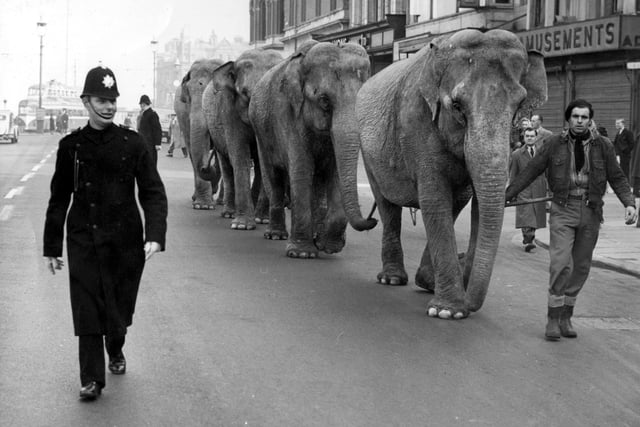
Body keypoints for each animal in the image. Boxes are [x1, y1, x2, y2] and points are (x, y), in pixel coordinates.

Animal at [202, 49, 282, 231]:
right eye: (245, 94)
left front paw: (262, 220)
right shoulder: (229, 109)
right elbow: (239, 156)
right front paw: (241, 226)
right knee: (227, 165)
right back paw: (229, 214)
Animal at [249, 41, 372, 260]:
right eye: (324, 100)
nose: (372, 220)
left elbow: (336, 173)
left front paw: (328, 247)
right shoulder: (289, 115)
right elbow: (302, 170)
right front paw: (302, 253)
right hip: (261, 132)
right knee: (274, 177)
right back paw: (276, 235)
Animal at [342, 28, 548, 320]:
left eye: (519, 105)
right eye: (458, 106)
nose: (469, 302)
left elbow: (465, 203)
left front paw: (441, 295)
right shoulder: (416, 122)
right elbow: (434, 199)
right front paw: (448, 312)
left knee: (453, 204)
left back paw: (424, 281)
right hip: (369, 153)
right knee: (387, 205)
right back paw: (392, 279)